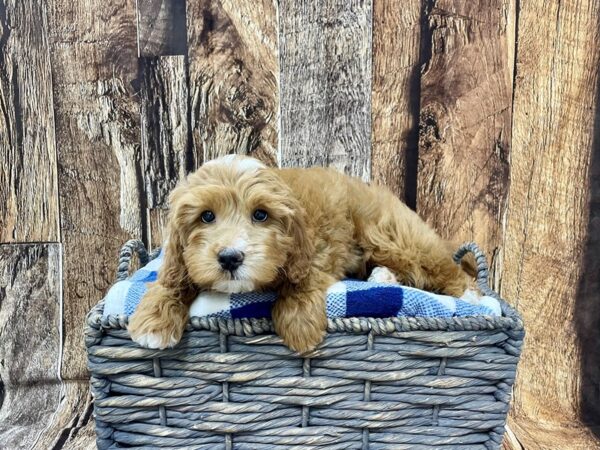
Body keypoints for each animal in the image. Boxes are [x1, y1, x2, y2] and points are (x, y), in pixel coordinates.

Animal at [129, 156, 476, 354]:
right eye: (206, 216)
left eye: (260, 215)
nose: (230, 258)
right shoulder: (182, 259)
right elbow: (172, 279)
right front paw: (154, 320)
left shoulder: (319, 252)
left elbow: (301, 280)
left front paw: (299, 326)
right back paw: (383, 275)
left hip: (389, 234)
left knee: (442, 268)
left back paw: (469, 295)